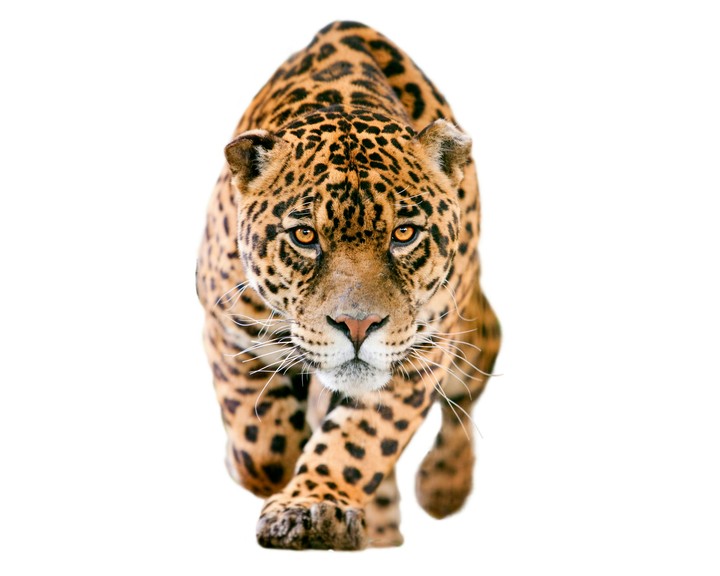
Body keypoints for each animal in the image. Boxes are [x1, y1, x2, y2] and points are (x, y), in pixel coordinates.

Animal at [196, 20, 501, 550]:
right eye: (305, 236)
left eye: (404, 234)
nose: (358, 326)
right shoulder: (225, 323)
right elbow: (262, 446)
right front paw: (265, 468)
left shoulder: (421, 353)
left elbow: (361, 440)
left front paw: (313, 506)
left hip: (470, 335)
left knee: (472, 382)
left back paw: (441, 487)